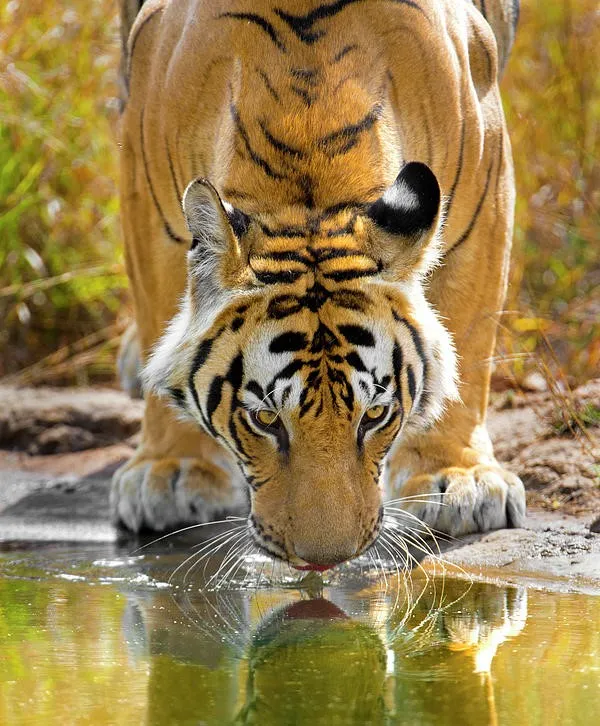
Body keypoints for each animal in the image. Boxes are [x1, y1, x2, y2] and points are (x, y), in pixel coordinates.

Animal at [112, 0, 526, 567]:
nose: (324, 561)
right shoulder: (146, 192)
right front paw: (171, 469)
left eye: (375, 415)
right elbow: (158, 313)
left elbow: (469, 333)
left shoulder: (487, 177)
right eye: (265, 420)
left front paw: (459, 479)